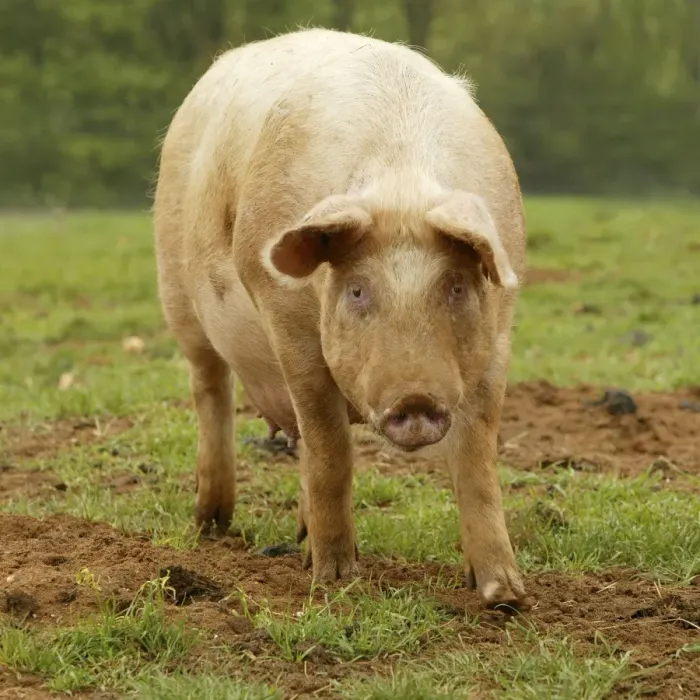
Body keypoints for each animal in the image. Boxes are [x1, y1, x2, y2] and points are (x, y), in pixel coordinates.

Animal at [153, 28, 529, 611]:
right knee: (210, 389)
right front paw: (335, 580)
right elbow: (331, 448)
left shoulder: (498, 339)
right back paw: (212, 526)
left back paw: (299, 538)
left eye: (456, 286)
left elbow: (477, 456)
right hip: (176, 290)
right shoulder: (290, 328)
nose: (415, 398)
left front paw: (504, 595)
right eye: (357, 290)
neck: (400, 180)